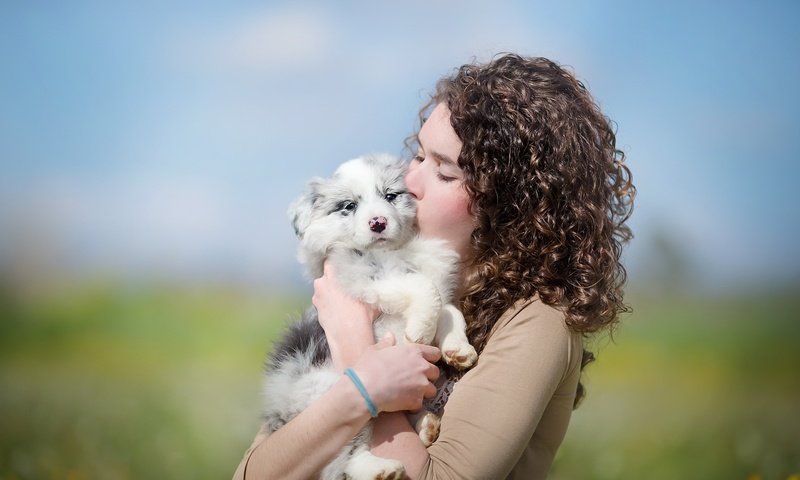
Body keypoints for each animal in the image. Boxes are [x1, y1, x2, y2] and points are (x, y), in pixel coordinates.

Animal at [260, 155, 476, 480]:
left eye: (391, 195)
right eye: (349, 205)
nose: (378, 223)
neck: (398, 251)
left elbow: (450, 310)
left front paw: (458, 349)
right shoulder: (365, 278)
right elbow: (422, 286)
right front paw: (421, 331)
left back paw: (425, 426)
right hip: (332, 399)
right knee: (345, 457)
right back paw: (382, 469)